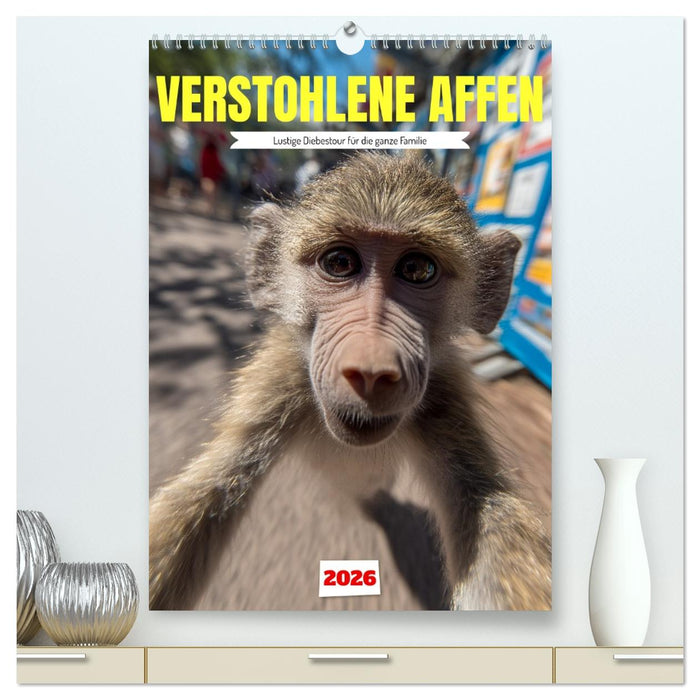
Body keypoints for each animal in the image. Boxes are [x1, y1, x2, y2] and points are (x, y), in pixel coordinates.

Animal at [149, 151, 551, 611]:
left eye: (417, 269)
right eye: (339, 263)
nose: (373, 368)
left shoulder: (443, 399)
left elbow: (486, 504)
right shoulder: (280, 381)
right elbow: (214, 485)